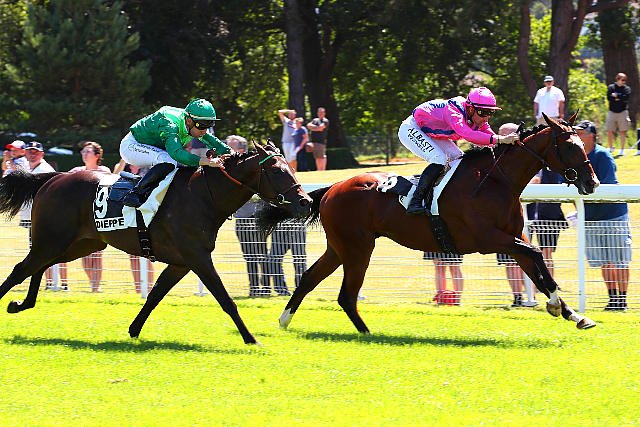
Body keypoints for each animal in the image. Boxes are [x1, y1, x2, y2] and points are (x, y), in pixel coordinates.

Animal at [0, 141, 312, 344]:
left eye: (290, 168)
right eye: (277, 171)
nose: (305, 202)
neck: (204, 195)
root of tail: (54, 177)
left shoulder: (181, 262)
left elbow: (155, 295)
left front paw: (133, 330)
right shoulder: (198, 257)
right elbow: (225, 299)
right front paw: (250, 339)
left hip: (82, 244)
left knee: (39, 266)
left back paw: (21, 303)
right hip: (54, 239)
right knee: (21, 268)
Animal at [256, 113, 600, 333]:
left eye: (583, 144)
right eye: (570, 146)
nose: (592, 182)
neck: (496, 181)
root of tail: (332, 188)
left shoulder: (512, 239)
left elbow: (538, 269)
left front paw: (574, 314)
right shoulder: (488, 239)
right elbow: (538, 256)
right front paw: (556, 305)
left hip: (340, 246)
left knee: (310, 277)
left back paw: (286, 320)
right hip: (357, 247)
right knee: (345, 294)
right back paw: (366, 333)